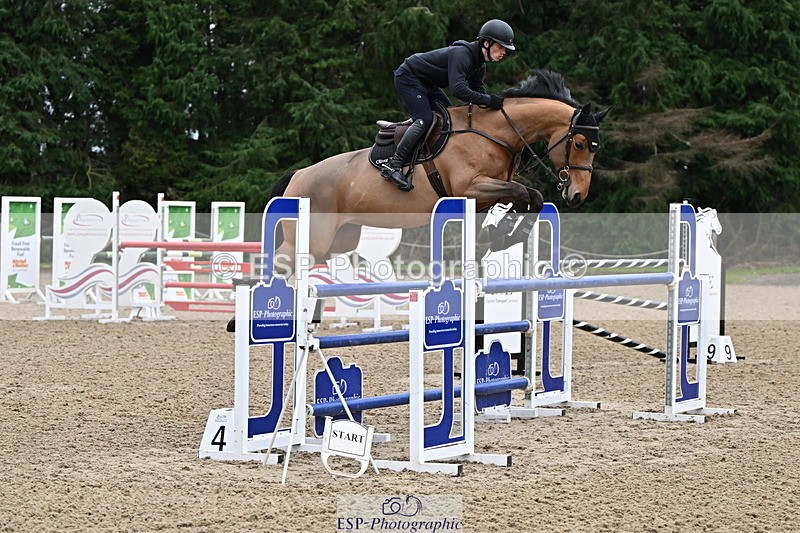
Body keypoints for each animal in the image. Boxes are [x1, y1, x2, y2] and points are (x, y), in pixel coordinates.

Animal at [270, 69, 608, 268]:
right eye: (580, 143)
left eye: (595, 147)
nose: (578, 194)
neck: (494, 132)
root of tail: (298, 175)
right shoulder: (470, 187)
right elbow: (526, 193)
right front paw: (500, 235)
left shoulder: (488, 192)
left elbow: (528, 198)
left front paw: (499, 235)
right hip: (311, 239)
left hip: (339, 240)